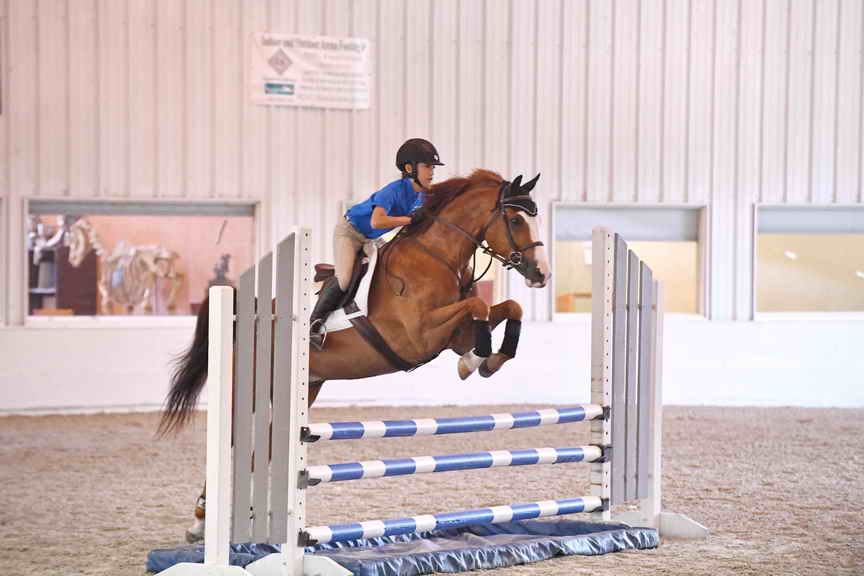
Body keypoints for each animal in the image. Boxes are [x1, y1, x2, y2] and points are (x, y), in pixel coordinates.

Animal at [158, 169, 550, 540]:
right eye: (515, 220)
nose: (541, 274)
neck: (437, 257)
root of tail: (246, 313)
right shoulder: (418, 335)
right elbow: (478, 305)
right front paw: (476, 360)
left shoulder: (454, 334)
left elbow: (507, 307)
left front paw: (485, 360)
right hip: (252, 387)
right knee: (233, 442)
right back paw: (200, 521)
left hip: (303, 388)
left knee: (264, 447)